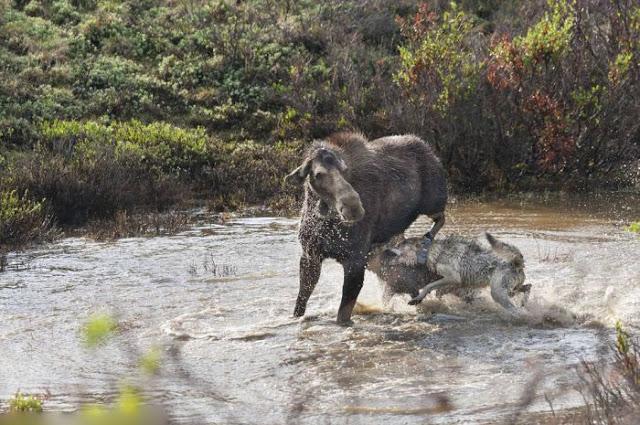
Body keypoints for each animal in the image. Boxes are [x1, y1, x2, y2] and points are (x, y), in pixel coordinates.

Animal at [367, 233, 530, 312]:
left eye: (400, 245)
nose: (388, 249)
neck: (430, 252)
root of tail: (515, 262)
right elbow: (434, 290)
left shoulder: (453, 278)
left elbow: (428, 287)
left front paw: (418, 299)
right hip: (509, 291)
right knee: (528, 287)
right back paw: (524, 303)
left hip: (498, 293)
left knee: (515, 306)